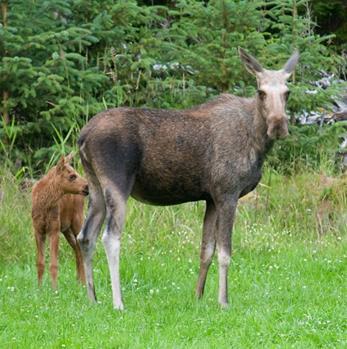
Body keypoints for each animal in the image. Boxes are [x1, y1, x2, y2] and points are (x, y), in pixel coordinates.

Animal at [31, 154, 89, 286]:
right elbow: (40, 263)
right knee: (77, 250)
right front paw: (39, 288)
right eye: (72, 176)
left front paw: (54, 289)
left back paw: (83, 283)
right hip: (66, 229)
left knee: (81, 250)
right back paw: (78, 281)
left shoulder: (54, 229)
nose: (87, 186)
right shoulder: (38, 230)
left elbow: (54, 264)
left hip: (77, 221)